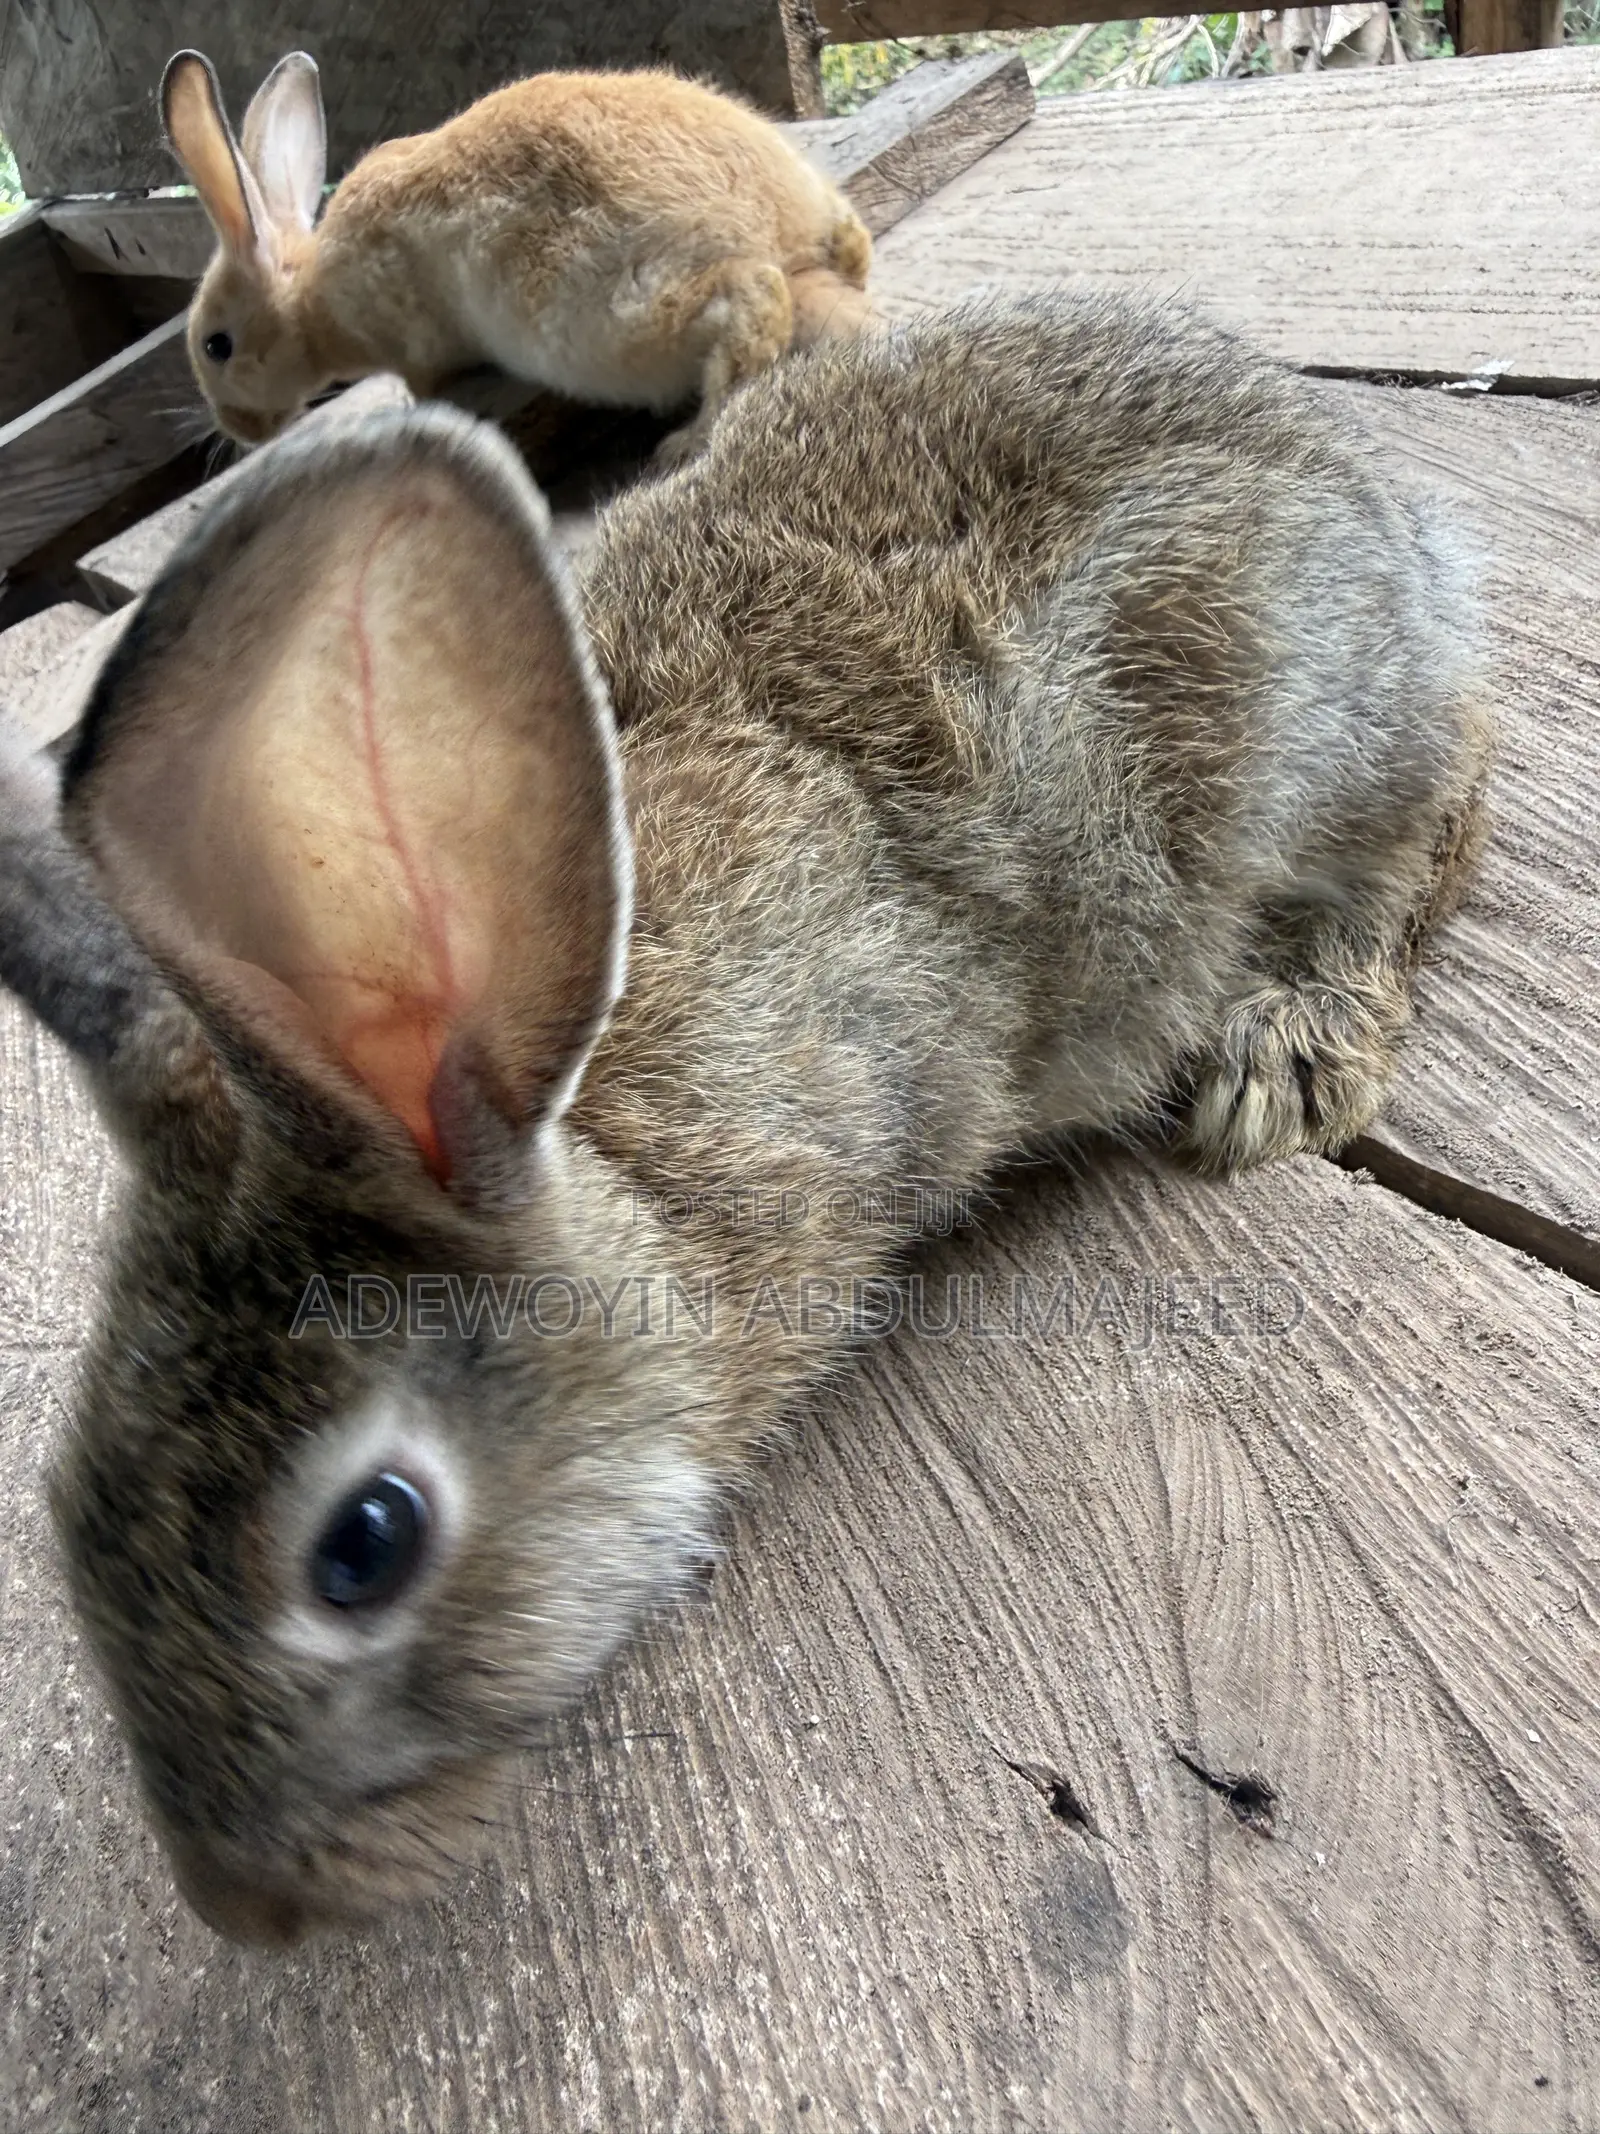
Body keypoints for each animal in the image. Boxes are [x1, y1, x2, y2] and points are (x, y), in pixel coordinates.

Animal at [0, 291, 1489, 1946]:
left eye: (365, 1543)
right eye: (65, 1505)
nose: (241, 1904)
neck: (608, 1160)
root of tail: (1363, 487)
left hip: (1285, 708)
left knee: (1427, 808)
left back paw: (1288, 1049)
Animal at [161, 47, 874, 459]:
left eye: (215, 346)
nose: (239, 430)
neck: (311, 299)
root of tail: (792, 247)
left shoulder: (407, 338)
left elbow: (422, 378)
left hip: (609, 317)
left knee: (754, 303)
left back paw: (685, 442)